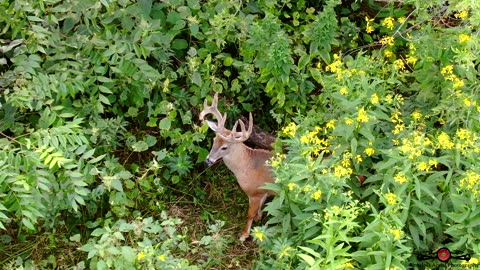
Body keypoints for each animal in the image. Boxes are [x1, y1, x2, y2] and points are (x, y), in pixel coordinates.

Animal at [199, 94, 274, 242]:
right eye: (214, 140)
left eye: (224, 147)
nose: (208, 161)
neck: (246, 166)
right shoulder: (263, 192)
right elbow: (259, 210)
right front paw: (259, 218)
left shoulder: (255, 192)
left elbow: (250, 214)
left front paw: (244, 235)